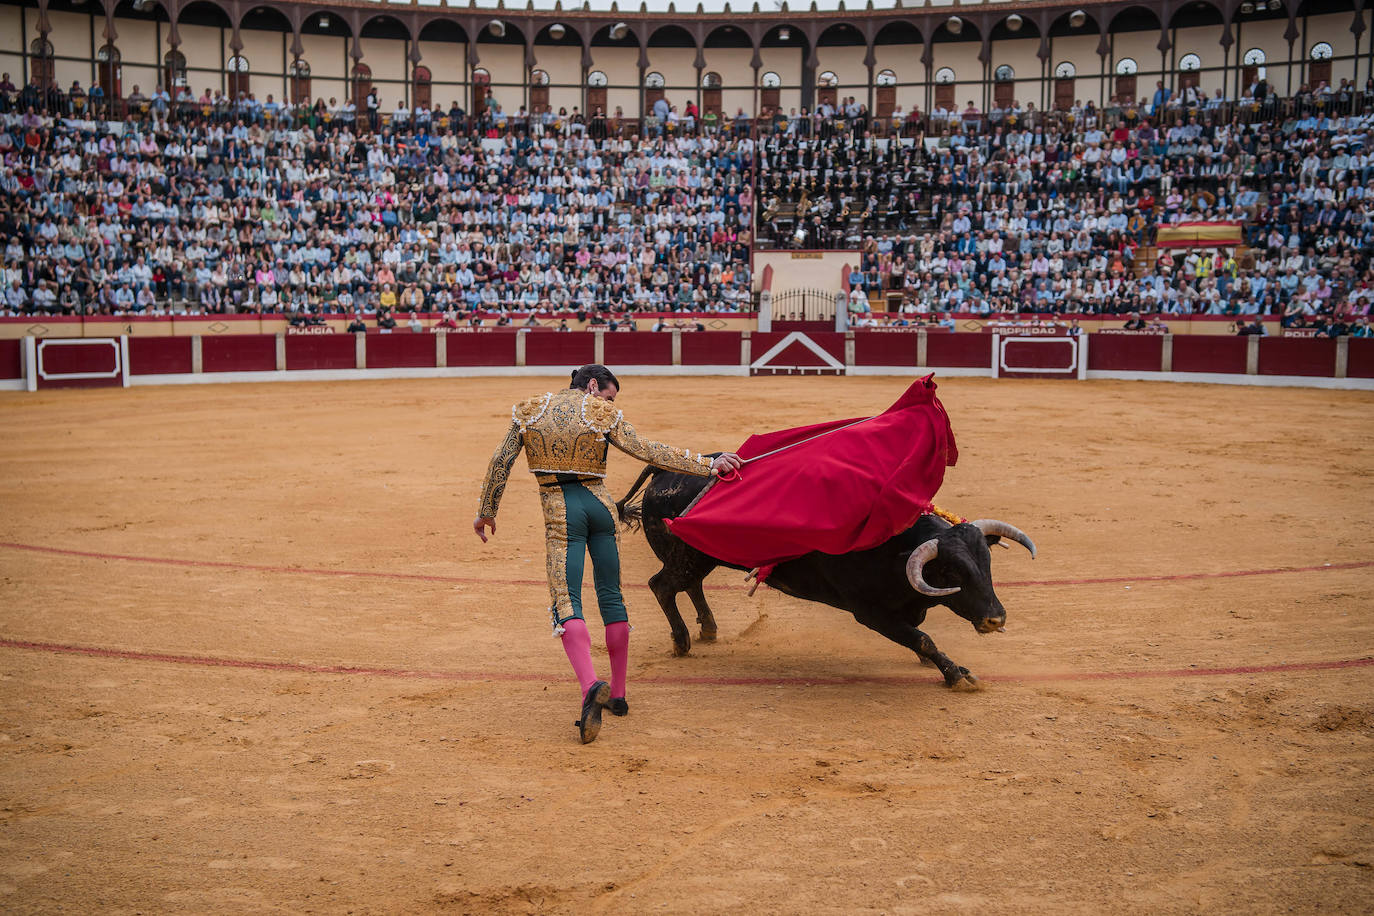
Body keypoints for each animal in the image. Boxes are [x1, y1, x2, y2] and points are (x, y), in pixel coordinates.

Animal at [618, 461, 1033, 692]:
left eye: (987, 563)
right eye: (949, 570)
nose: (996, 619)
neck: (894, 543)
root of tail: (664, 471)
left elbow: (920, 633)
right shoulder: (870, 612)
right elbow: (924, 639)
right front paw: (957, 675)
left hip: (698, 557)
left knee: (690, 584)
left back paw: (708, 628)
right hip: (686, 557)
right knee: (662, 586)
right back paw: (682, 641)